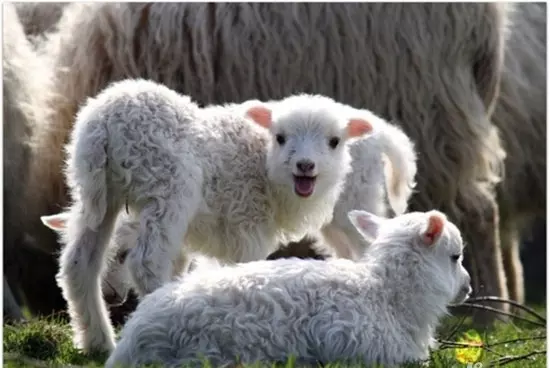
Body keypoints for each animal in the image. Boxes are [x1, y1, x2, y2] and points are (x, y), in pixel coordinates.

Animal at [40, 79, 376, 356]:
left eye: (334, 141)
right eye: (280, 137)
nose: (305, 165)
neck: (262, 161)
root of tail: (106, 121)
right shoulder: (247, 228)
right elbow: (245, 276)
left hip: (94, 188)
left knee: (79, 263)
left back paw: (97, 342)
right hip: (168, 187)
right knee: (147, 263)